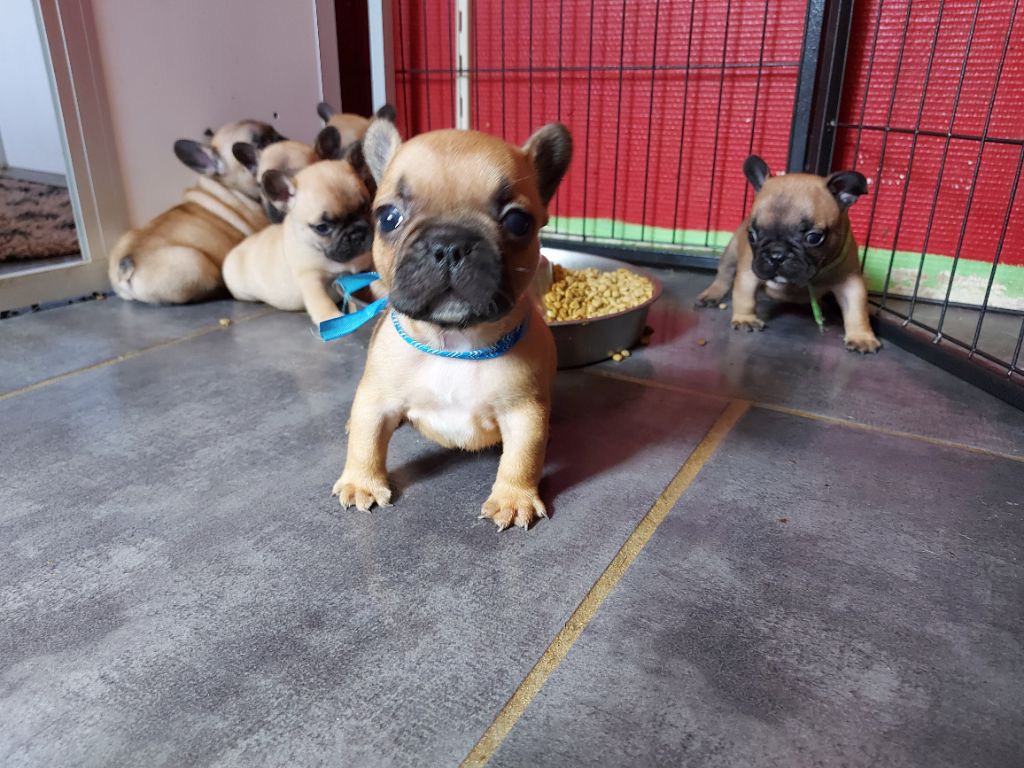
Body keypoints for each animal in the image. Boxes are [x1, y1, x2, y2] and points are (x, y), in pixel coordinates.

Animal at [221, 132, 374, 324]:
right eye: (322, 227)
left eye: (366, 207)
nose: (356, 233)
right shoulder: (310, 279)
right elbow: (321, 301)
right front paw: (331, 316)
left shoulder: (363, 271)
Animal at [332, 119, 572, 530]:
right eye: (388, 217)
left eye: (517, 221)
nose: (449, 245)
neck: (454, 345)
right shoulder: (376, 399)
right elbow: (366, 439)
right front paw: (361, 482)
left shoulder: (525, 413)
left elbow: (522, 457)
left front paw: (514, 498)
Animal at [697, 155, 880, 353]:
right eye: (752, 235)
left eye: (814, 238)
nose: (776, 255)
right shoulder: (749, 272)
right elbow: (744, 296)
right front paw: (745, 319)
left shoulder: (849, 281)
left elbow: (857, 310)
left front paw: (861, 337)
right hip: (731, 255)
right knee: (724, 275)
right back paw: (712, 295)